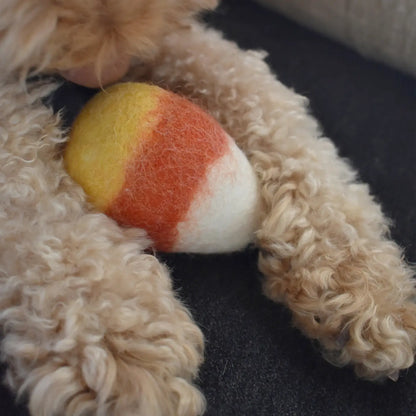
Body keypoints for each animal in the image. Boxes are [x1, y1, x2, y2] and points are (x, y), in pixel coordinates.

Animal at [0, 0, 414, 416]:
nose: (106, 74)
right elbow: (26, 192)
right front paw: (115, 339)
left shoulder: (177, 37)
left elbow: (260, 98)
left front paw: (360, 274)